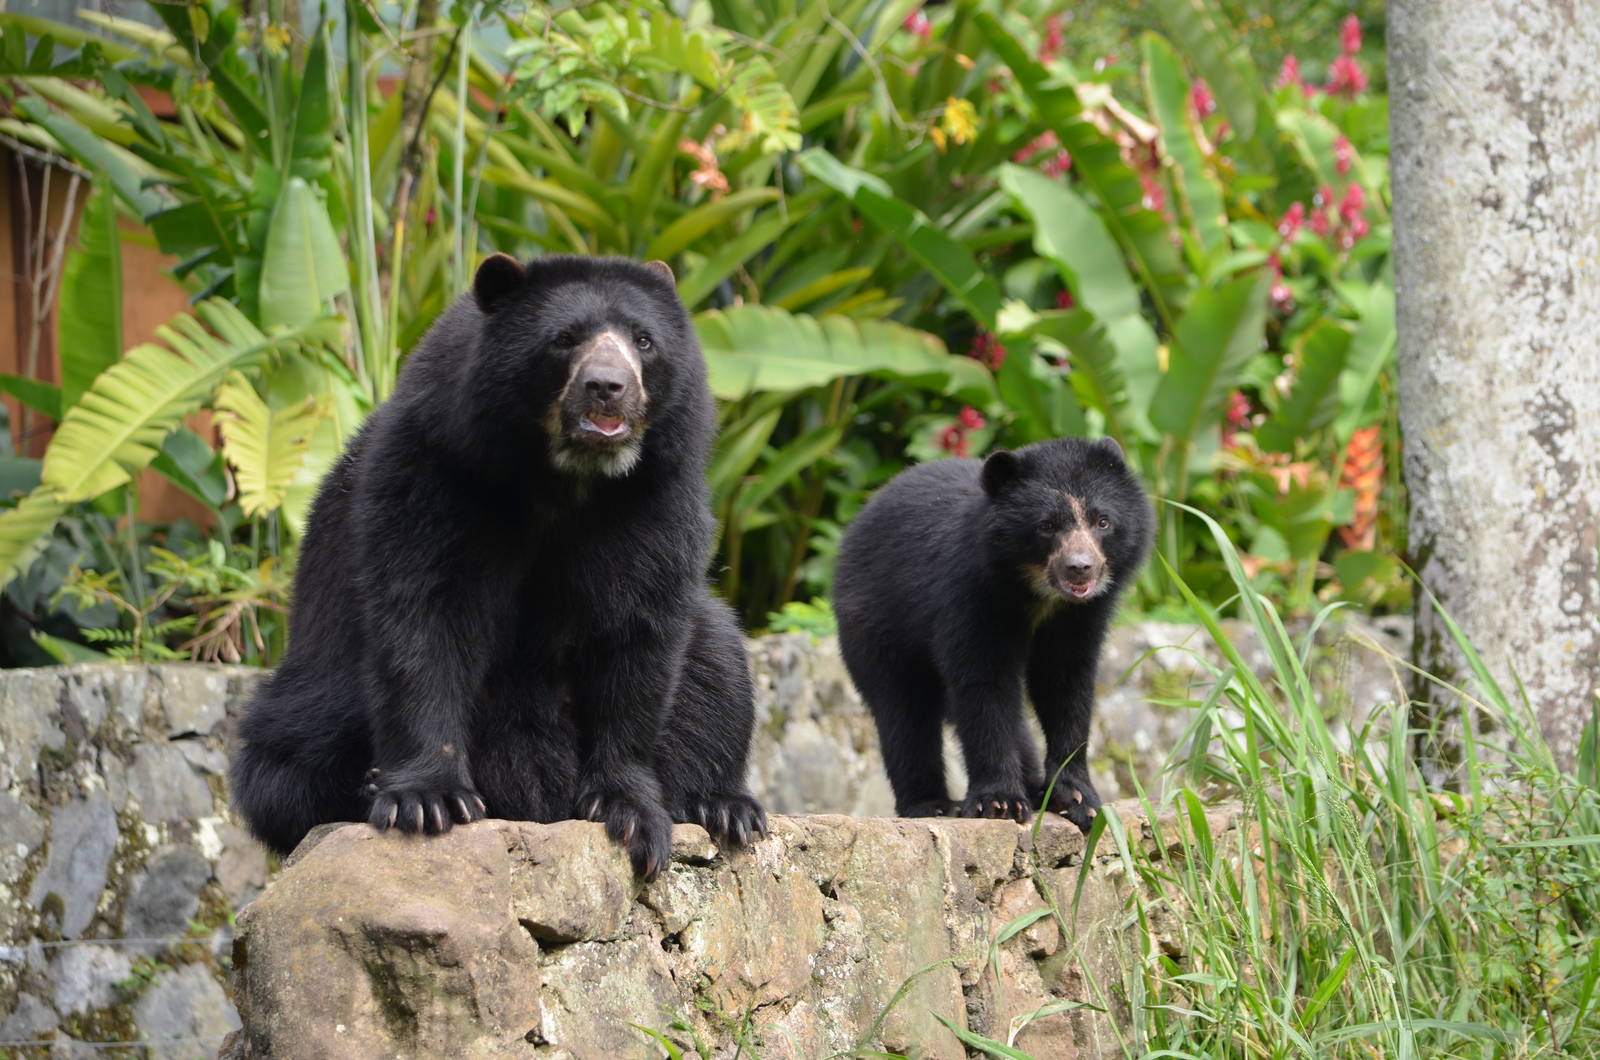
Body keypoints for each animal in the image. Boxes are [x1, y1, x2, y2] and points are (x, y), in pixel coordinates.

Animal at [229, 253, 766, 880]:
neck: (567, 479)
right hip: (315, 690)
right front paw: (427, 799)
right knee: (286, 761)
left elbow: (638, 636)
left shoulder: (657, 499)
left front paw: (628, 810)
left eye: (644, 342)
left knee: (719, 663)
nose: (608, 388)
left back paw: (724, 806)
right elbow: (424, 618)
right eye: (564, 339)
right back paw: (362, 786)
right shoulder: (434, 473)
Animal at [832, 437, 1152, 831]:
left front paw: (1078, 800)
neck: (1038, 596)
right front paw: (1000, 803)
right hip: (877, 623)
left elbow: (1067, 687)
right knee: (904, 711)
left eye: (1103, 521)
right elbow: (983, 687)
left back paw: (1034, 787)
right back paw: (931, 804)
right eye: (1047, 525)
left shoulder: (1080, 618)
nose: (1081, 568)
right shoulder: (969, 597)